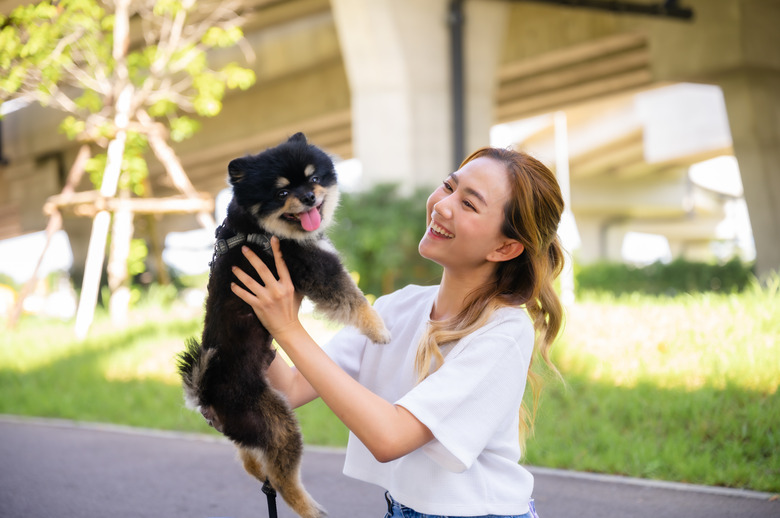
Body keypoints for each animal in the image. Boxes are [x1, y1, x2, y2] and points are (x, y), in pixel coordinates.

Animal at [181, 134, 394, 518]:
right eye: (281, 192)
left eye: (314, 179)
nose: (309, 197)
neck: (257, 229)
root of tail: (205, 395)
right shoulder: (316, 268)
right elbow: (355, 299)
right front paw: (379, 329)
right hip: (276, 423)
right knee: (281, 477)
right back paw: (312, 510)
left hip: (254, 428)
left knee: (251, 460)